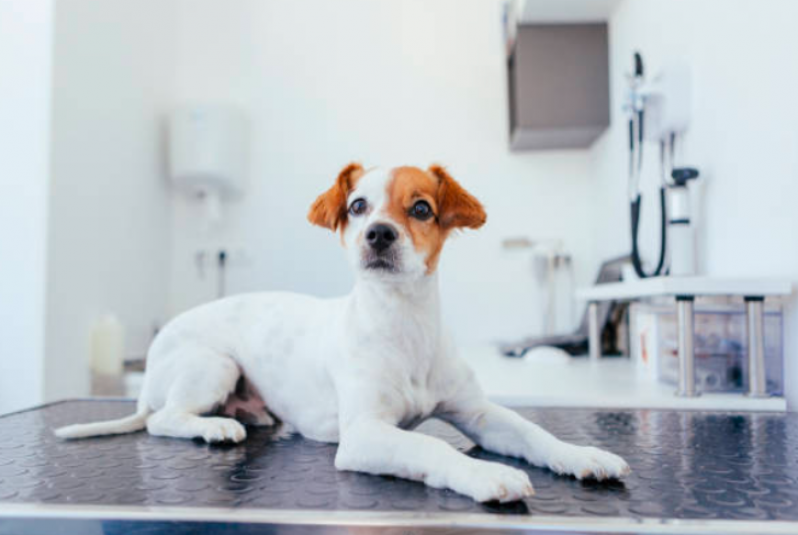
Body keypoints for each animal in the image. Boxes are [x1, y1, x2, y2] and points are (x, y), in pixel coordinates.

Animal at [56, 163, 632, 502]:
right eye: (358, 206)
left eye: (421, 208)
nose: (378, 233)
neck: (403, 323)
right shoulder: (365, 434)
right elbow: (430, 448)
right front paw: (485, 475)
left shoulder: (479, 414)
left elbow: (534, 433)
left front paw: (583, 455)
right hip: (212, 365)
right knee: (163, 420)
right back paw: (214, 427)